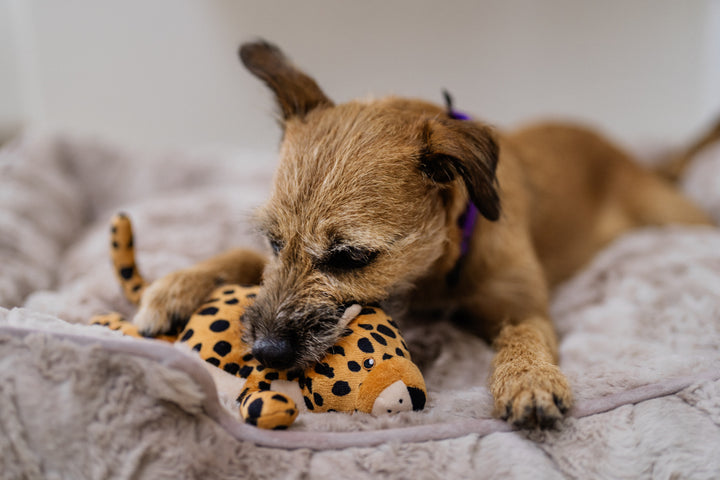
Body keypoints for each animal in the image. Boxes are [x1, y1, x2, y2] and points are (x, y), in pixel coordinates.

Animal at [132, 41, 716, 430]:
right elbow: (237, 257)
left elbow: (523, 336)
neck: (437, 268)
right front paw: (175, 286)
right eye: (274, 242)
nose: (266, 352)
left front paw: (529, 381)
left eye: (351, 257)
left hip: (672, 214)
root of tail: (635, 160)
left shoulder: (526, 308)